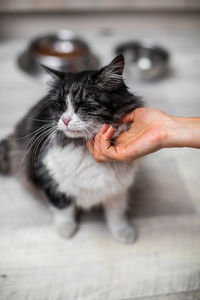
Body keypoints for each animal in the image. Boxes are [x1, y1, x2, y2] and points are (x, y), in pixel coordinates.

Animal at [0, 55, 142, 244]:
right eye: (60, 105)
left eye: (83, 105)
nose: (65, 120)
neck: (84, 148)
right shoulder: (51, 178)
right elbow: (64, 209)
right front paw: (66, 230)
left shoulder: (118, 188)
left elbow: (116, 213)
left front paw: (123, 233)